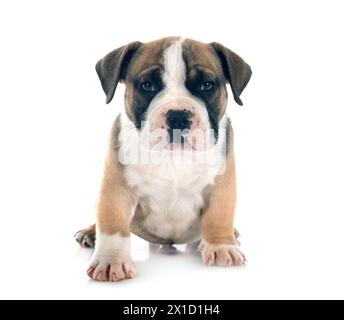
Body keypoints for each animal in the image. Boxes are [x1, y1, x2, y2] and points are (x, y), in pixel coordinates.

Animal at [76, 37, 253, 282]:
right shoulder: (116, 187)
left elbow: (219, 213)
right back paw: (90, 232)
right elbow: (112, 221)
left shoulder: (222, 183)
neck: (174, 157)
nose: (178, 116)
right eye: (147, 85)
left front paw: (221, 246)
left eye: (207, 85)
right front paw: (111, 260)